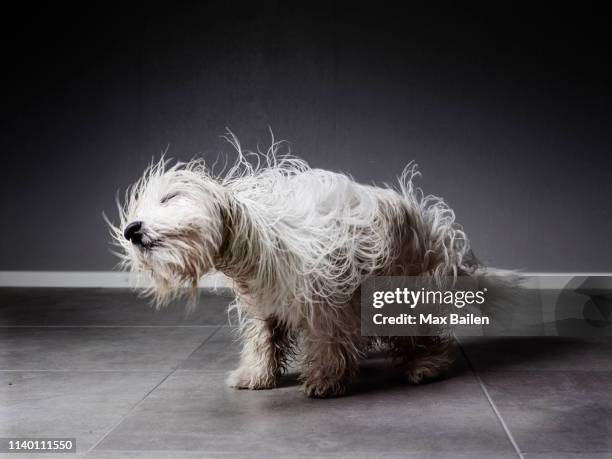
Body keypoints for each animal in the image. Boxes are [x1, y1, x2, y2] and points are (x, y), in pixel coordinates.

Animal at [109, 131, 482, 398]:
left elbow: (329, 339)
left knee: (420, 333)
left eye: (169, 198)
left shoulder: (329, 299)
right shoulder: (264, 303)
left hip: (402, 286)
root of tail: (433, 224)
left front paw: (326, 380)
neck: (259, 238)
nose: (131, 230)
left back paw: (426, 364)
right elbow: (263, 339)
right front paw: (255, 375)